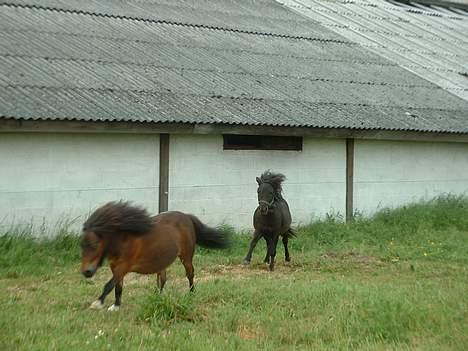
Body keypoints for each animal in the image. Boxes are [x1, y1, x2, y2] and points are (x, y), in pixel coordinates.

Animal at [81, 202, 230, 312]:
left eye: (94, 245)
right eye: (81, 245)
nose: (86, 272)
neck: (124, 239)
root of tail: (187, 217)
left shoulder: (124, 267)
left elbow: (109, 285)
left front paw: (98, 303)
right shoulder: (115, 267)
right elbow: (118, 287)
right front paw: (116, 306)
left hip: (186, 257)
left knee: (190, 274)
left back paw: (191, 294)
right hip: (162, 260)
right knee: (163, 279)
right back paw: (157, 297)